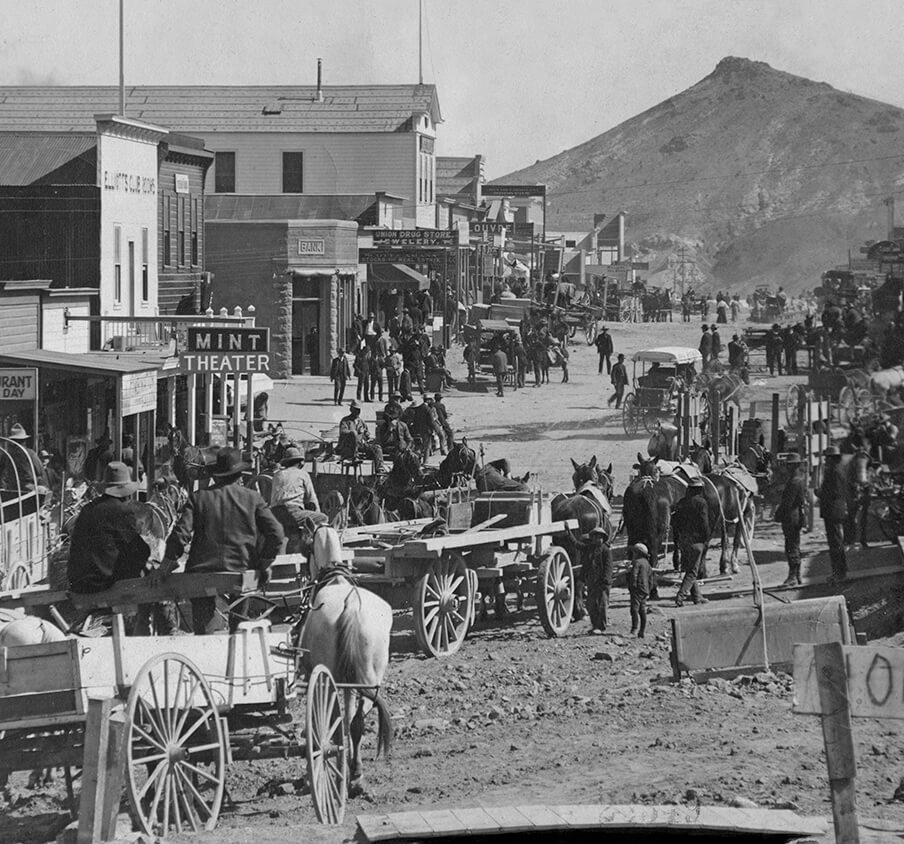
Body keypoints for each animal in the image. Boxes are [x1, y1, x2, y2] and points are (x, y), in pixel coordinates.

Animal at [290, 520, 388, 796]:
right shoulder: (350, 683)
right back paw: (355, 775)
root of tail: (351, 606)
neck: (334, 579)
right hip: (368, 679)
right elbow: (349, 721)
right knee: (356, 723)